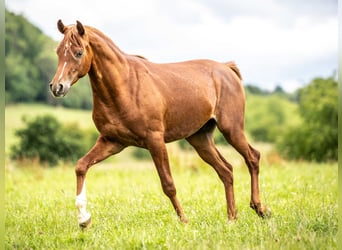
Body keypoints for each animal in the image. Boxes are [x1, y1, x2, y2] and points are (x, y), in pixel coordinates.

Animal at [49, 20, 268, 229]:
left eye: (79, 52)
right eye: (58, 51)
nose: (57, 87)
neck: (125, 85)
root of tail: (227, 69)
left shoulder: (154, 140)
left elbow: (168, 184)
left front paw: (184, 221)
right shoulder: (112, 141)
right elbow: (81, 166)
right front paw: (84, 220)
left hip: (232, 129)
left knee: (252, 157)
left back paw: (260, 209)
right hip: (200, 139)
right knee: (226, 170)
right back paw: (232, 219)